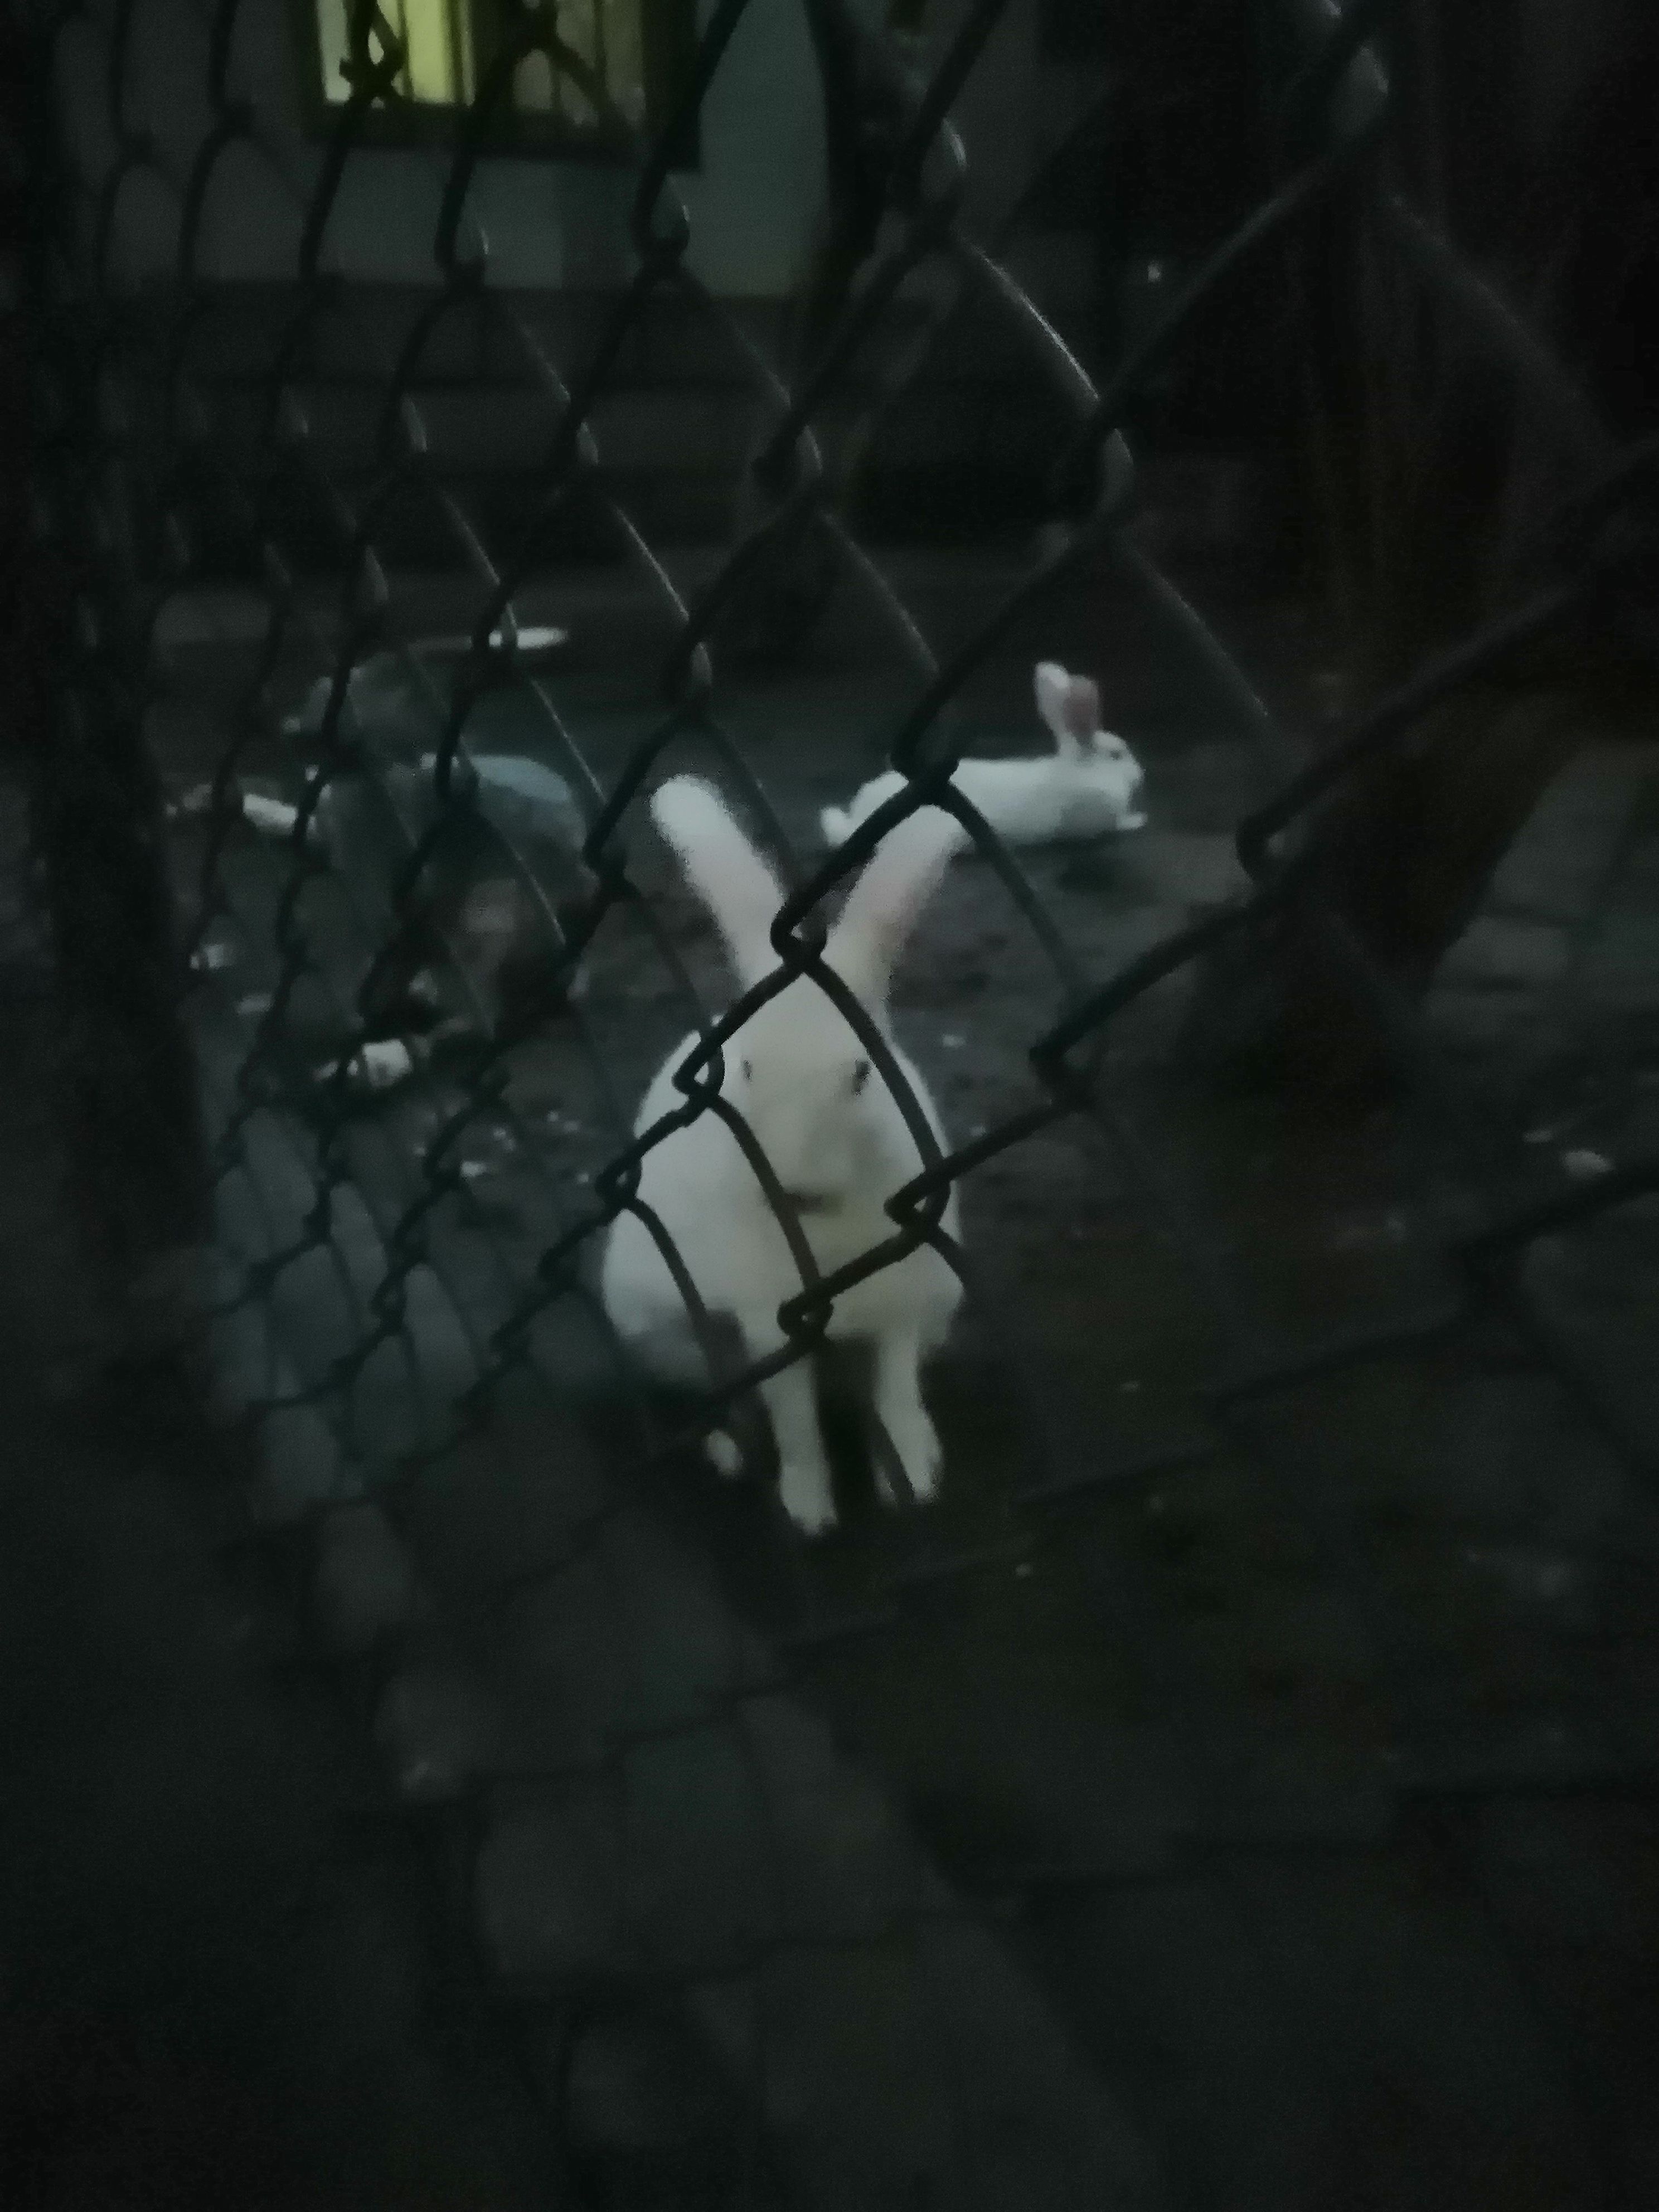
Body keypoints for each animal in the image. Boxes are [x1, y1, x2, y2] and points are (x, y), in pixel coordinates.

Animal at [600, 776, 967, 1538]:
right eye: (743, 1067)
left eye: (861, 1073)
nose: (796, 1185)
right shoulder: (771, 1329)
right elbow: (795, 1421)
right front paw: (809, 1511)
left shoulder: (903, 1307)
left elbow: (894, 1390)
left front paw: (912, 1480)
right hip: (667, 1327)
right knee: (722, 1391)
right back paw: (731, 1449)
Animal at [819, 660, 1147, 849]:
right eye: (1117, 755)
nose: (1140, 774)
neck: (1082, 770)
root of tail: (855, 819)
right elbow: (1115, 826)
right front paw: (1138, 820)